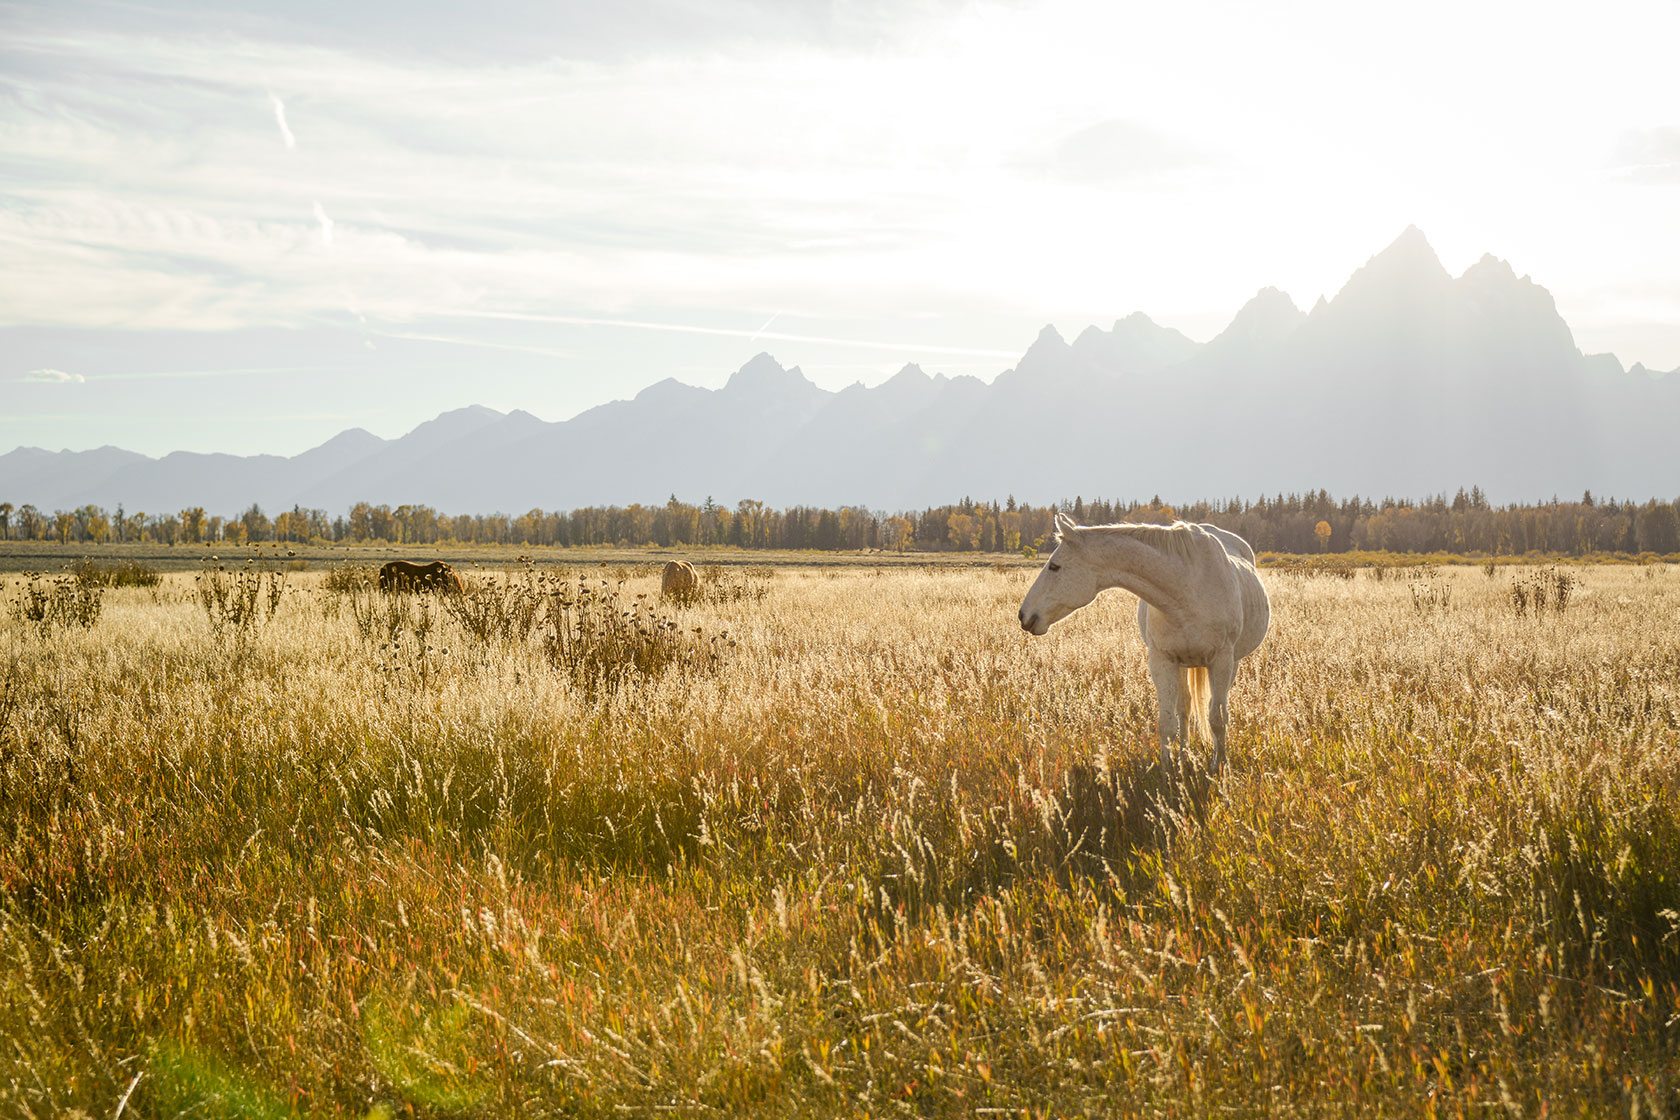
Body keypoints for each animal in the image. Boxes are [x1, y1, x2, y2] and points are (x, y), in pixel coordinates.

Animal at [1014, 513, 1263, 772]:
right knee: (1184, 708)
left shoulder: (1222, 661)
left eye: (1054, 566)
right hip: (1183, 664)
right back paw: (1183, 756)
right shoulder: (1162, 660)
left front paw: (1220, 766)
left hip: (1231, 663)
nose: (1024, 615)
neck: (1188, 588)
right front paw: (1167, 771)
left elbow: (1217, 719)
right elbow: (1167, 722)